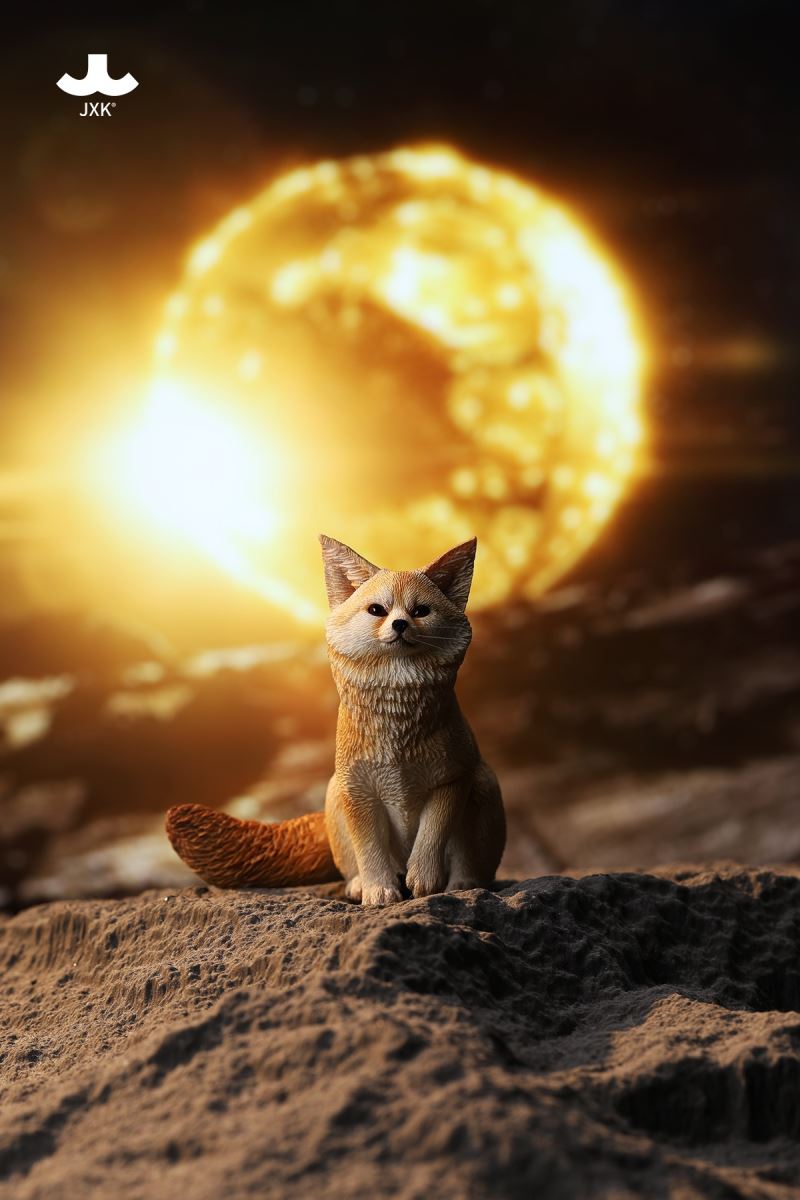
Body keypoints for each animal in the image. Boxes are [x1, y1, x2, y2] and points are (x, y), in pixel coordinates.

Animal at [166, 534, 506, 905]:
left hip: (484, 787)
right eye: (377, 610)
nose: (400, 624)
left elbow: (432, 836)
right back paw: (360, 885)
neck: (398, 739)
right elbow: (369, 850)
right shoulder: (356, 789)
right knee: (355, 864)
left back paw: (462, 884)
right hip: (333, 795)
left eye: (420, 611)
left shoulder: (452, 780)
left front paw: (425, 881)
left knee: (470, 863)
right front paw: (378, 891)